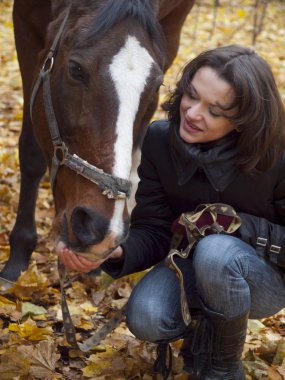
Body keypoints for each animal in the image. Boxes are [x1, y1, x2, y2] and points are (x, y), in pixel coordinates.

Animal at [0, 0, 194, 284]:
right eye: (75, 69)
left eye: (157, 85)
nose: (101, 228)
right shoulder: (25, 24)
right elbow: (32, 154)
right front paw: (18, 256)